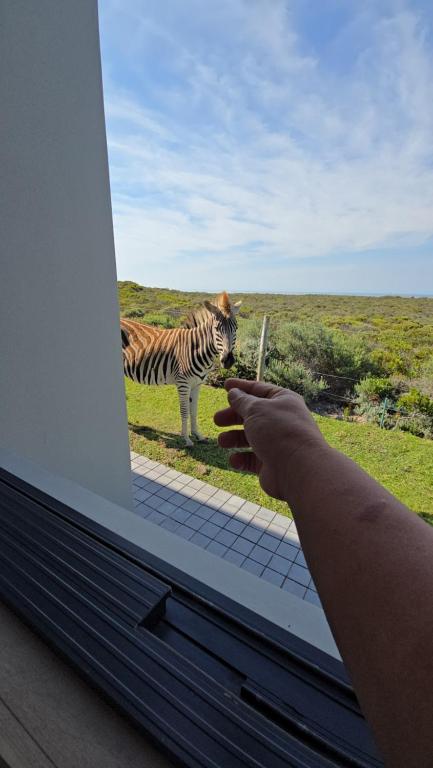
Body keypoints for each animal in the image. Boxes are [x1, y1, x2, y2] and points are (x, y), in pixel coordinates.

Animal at [120, 292, 242, 446]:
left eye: (236, 328)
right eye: (216, 329)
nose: (228, 360)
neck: (195, 348)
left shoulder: (197, 384)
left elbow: (194, 411)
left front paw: (198, 435)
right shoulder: (183, 384)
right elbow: (184, 411)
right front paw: (186, 439)